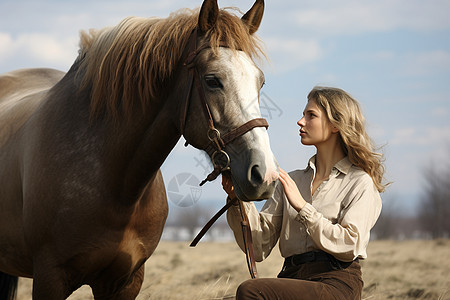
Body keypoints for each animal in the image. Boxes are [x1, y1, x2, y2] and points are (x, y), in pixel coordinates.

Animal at [0, 0, 278, 298]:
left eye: (260, 81)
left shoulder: (127, 280)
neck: (115, 187)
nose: (265, 174)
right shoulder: (50, 278)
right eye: (212, 80)